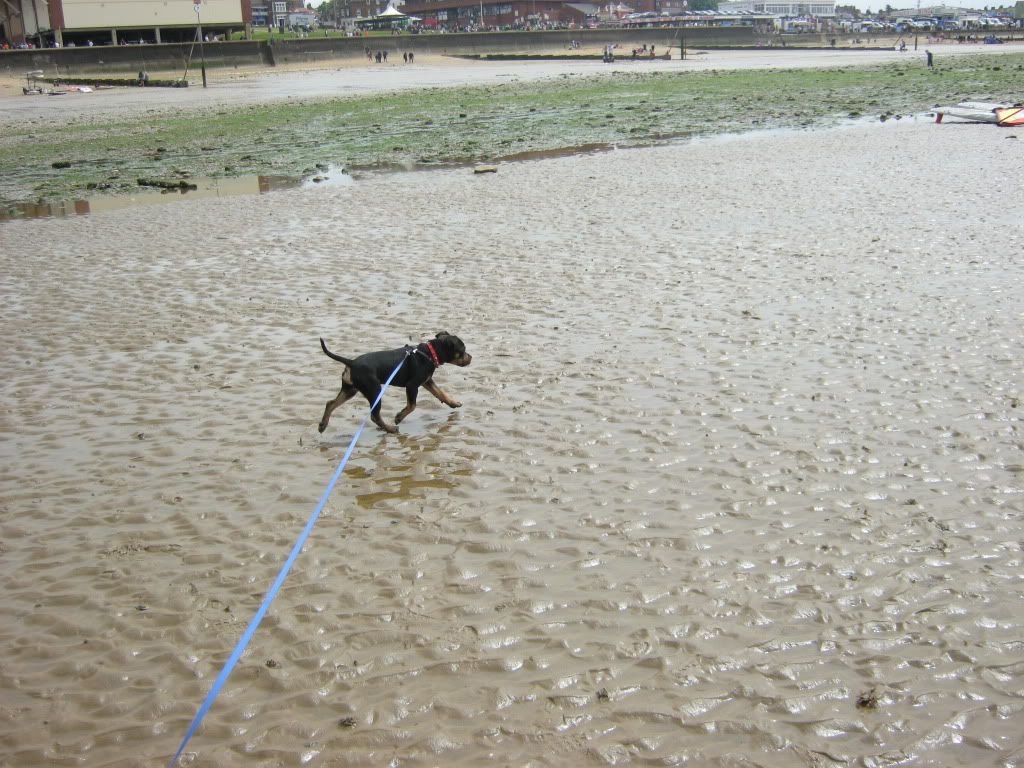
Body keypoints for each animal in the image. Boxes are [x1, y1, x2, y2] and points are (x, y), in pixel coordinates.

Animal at [317, 333, 473, 436]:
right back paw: (391, 429)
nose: (471, 357)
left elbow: (440, 392)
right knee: (374, 416)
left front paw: (453, 403)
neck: (430, 353)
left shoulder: (427, 381)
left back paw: (323, 425)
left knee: (330, 403)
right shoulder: (412, 385)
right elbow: (412, 405)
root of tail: (351, 362)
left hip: (350, 389)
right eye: (463, 350)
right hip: (374, 389)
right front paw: (399, 417)